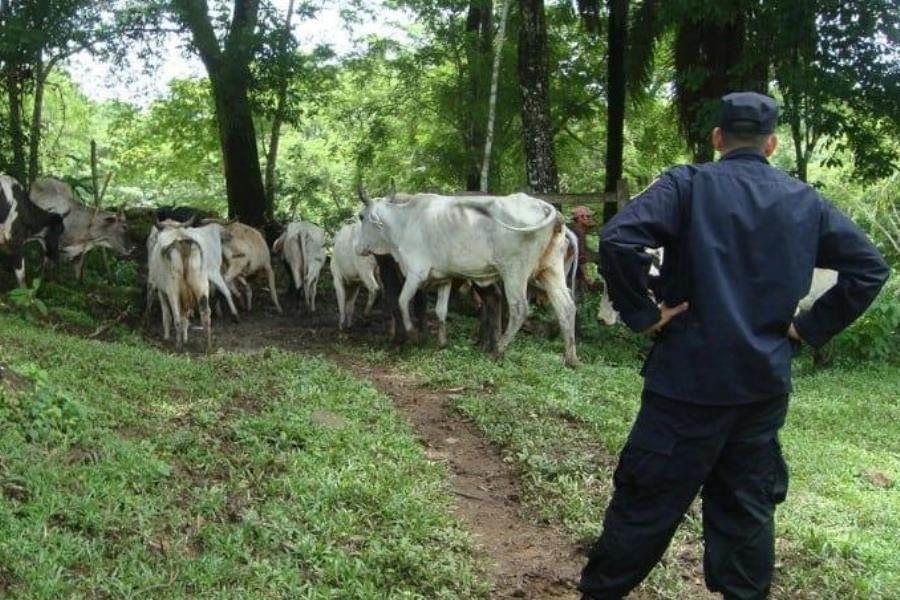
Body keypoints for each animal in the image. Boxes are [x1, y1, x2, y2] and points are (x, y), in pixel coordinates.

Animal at [354, 190, 576, 366]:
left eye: (361, 216)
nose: (358, 248)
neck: (404, 221)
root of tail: (545, 206)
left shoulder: (416, 274)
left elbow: (402, 302)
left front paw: (414, 335)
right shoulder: (443, 278)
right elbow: (439, 311)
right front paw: (441, 342)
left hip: (514, 272)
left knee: (519, 309)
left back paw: (498, 350)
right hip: (550, 270)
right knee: (566, 307)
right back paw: (571, 359)